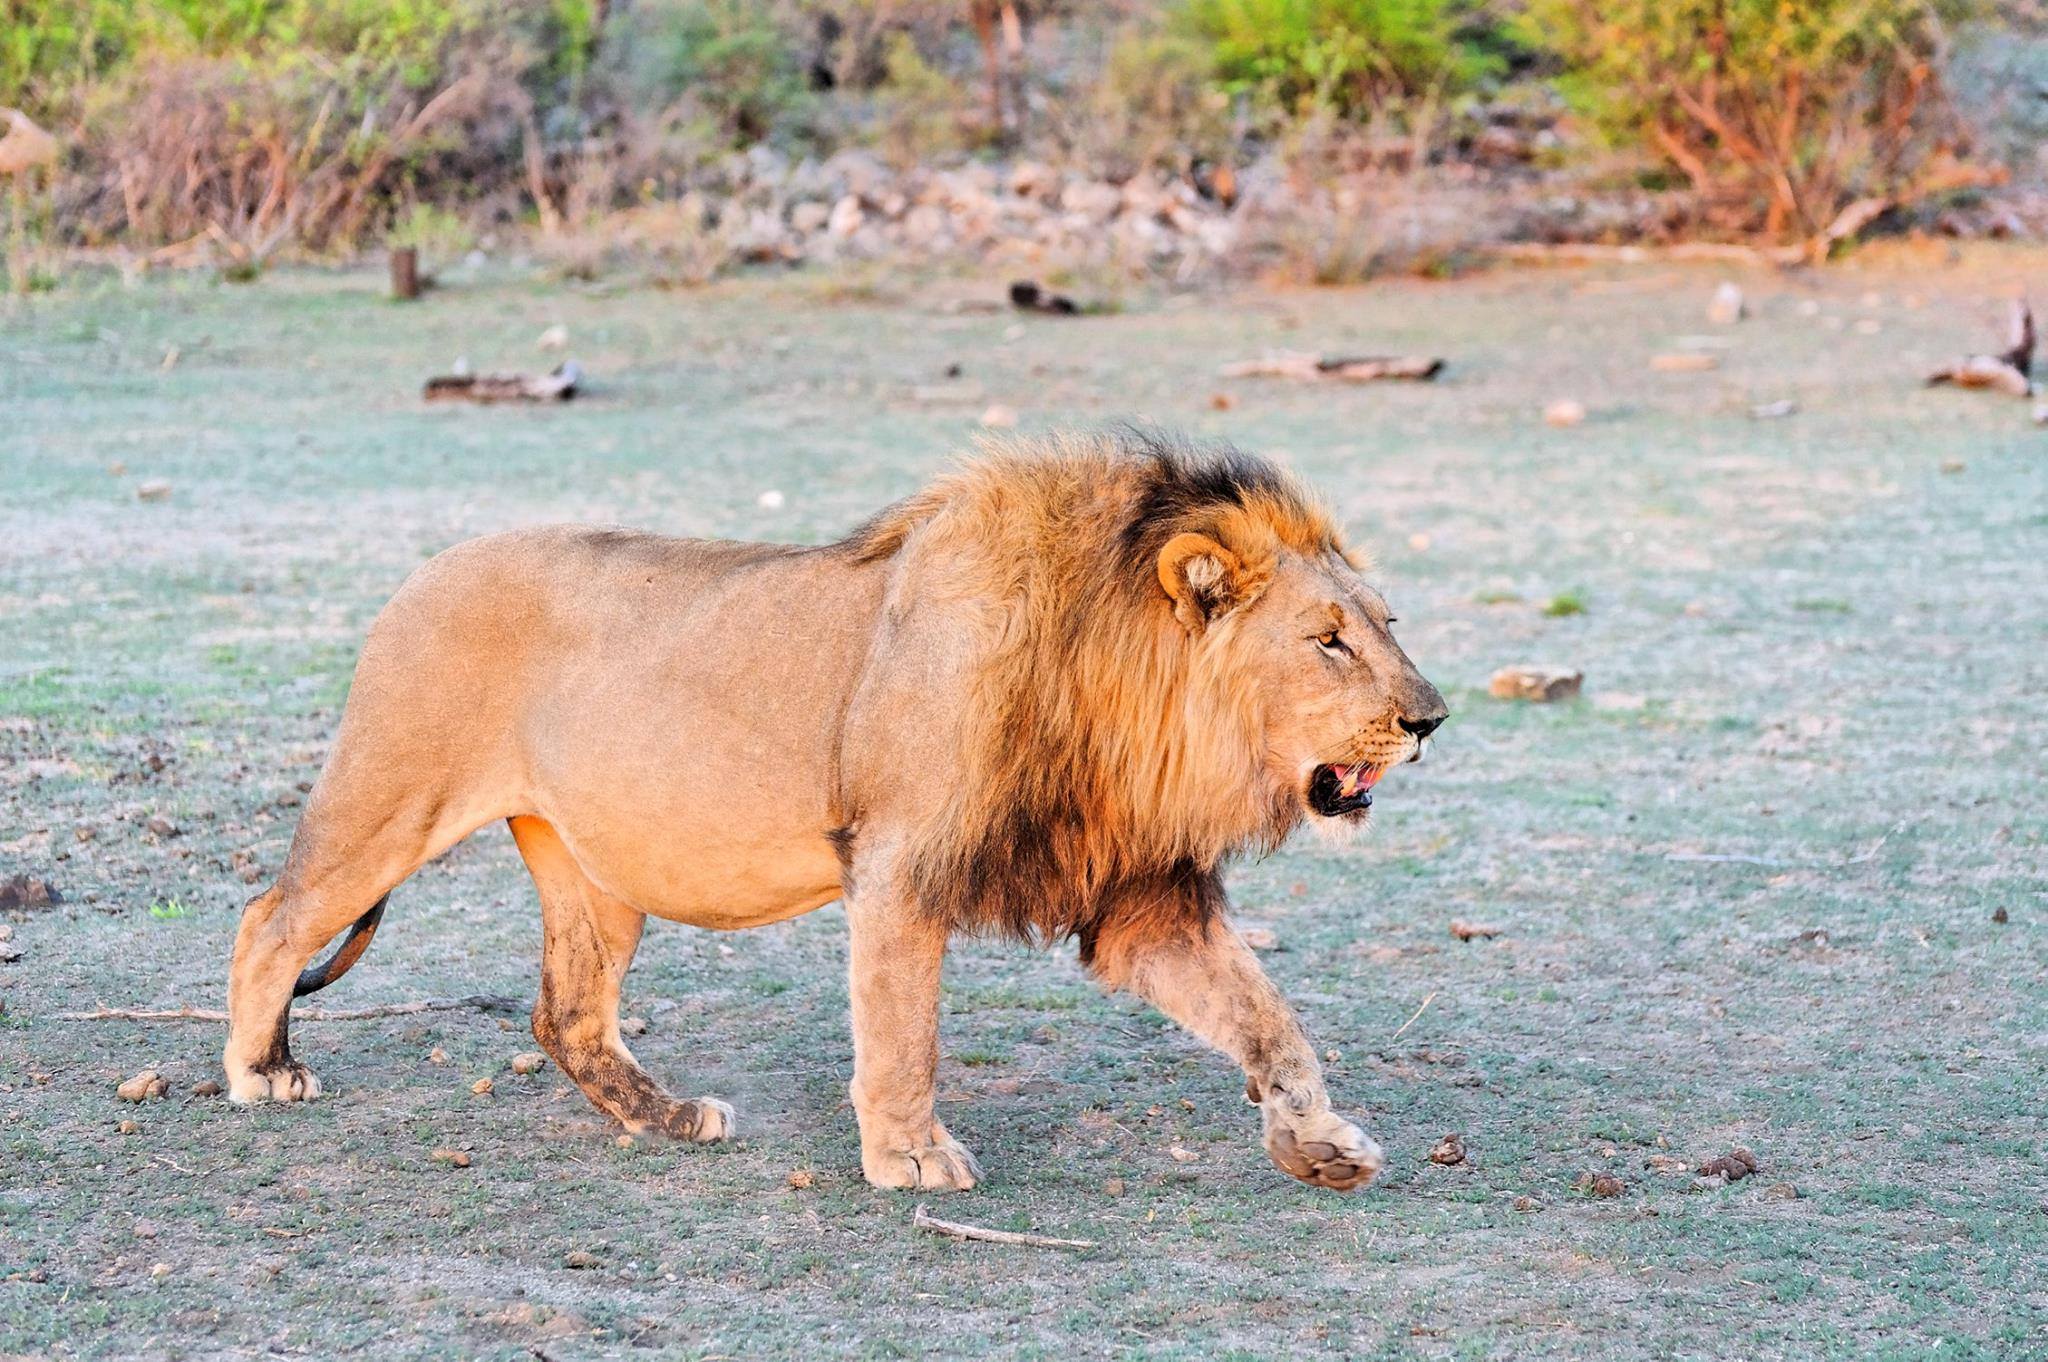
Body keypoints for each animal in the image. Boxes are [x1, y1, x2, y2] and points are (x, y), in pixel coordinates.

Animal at [228, 428, 1441, 1187]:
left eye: (1386, 624)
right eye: (1327, 641)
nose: (1429, 718)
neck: (1118, 694)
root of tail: (419, 573)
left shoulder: (1144, 896)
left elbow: (1269, 1018)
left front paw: (1318, 1142)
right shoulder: (899, 864)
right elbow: (903, 1032)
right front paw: (911, 1159)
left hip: (594, 868)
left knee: (566, 1015)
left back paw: (670, 1118)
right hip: (391, 798)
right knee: (269, 919)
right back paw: (260, 1070)